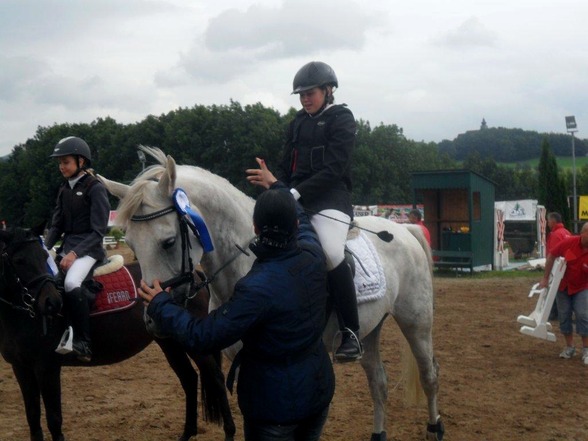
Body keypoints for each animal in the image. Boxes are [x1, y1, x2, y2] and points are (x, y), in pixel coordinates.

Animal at [0, 227, 234, 440]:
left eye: (42, 257)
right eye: (19, 260)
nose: (52, 303)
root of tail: (193, 276)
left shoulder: (47, 367)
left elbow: (54, 419)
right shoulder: (21, 368)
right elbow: (32, 416)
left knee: (216, 377)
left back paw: (229, 432)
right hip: (169, 343)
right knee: (189, 378)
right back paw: (187, 434)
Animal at [99, 147, 444, 440]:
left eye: (168, 242)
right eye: (130, 243)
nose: (152, 320)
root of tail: (402, 229)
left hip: (416, 321)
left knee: (429, 376)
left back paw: (435, 428)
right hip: (370, 329)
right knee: (379, 383)